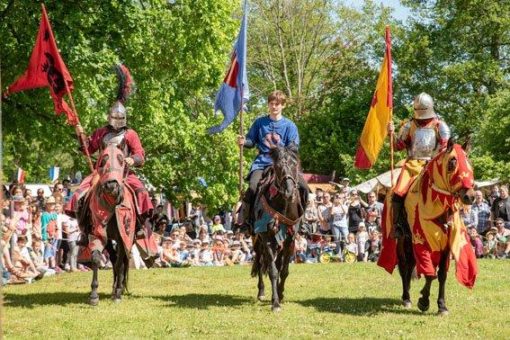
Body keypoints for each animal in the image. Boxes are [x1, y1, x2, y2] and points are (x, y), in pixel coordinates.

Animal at [81, 143, 140, 306]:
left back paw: (118, 290)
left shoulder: (122, 238)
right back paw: (114, 288)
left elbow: (120, 263)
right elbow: (96, 258)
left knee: (121, 261)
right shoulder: (97, 233)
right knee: (113, 259)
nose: (111, 186)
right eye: (103, 160)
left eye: (121, 160)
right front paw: (94, 295)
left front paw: (118, 294)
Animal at [249, 142, 304, 312]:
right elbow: (272, 271)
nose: (289, 191)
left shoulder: (290, 239)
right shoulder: (266, 237)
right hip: (258, 240)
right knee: (260, 262)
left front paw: (280, 294)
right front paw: (275, 303)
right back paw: (261, 292)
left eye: (294, 164)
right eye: (279, 166)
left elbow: (284, 270)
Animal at [378, 139, 478, 314]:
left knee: (410, 266)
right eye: (452, 162)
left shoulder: (446, 244)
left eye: (469, 162)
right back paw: (406, 298)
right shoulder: (422, 240)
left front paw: (442, 305)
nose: (470, 196)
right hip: (403, 240)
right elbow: (429, 272)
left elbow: (442, 275)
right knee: (404, 266)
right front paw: (424, 301)